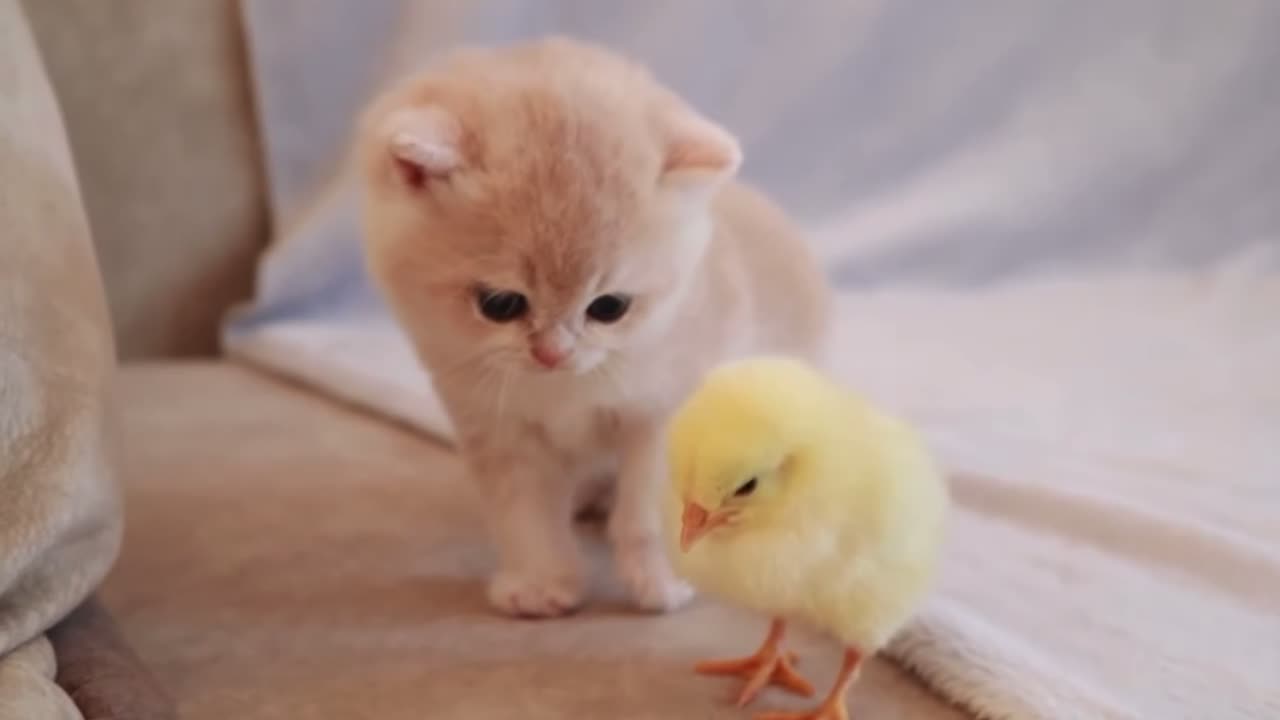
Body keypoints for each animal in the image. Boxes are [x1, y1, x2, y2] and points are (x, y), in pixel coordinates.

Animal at [355, 35, 829, 617]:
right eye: (499, 304)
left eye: (608, 308)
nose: (553, 353)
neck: (563, 390)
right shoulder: (497, 428)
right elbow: (526, 516)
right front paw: (540, 585)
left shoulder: (662, 417)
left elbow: (647, 515)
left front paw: (659, 584)